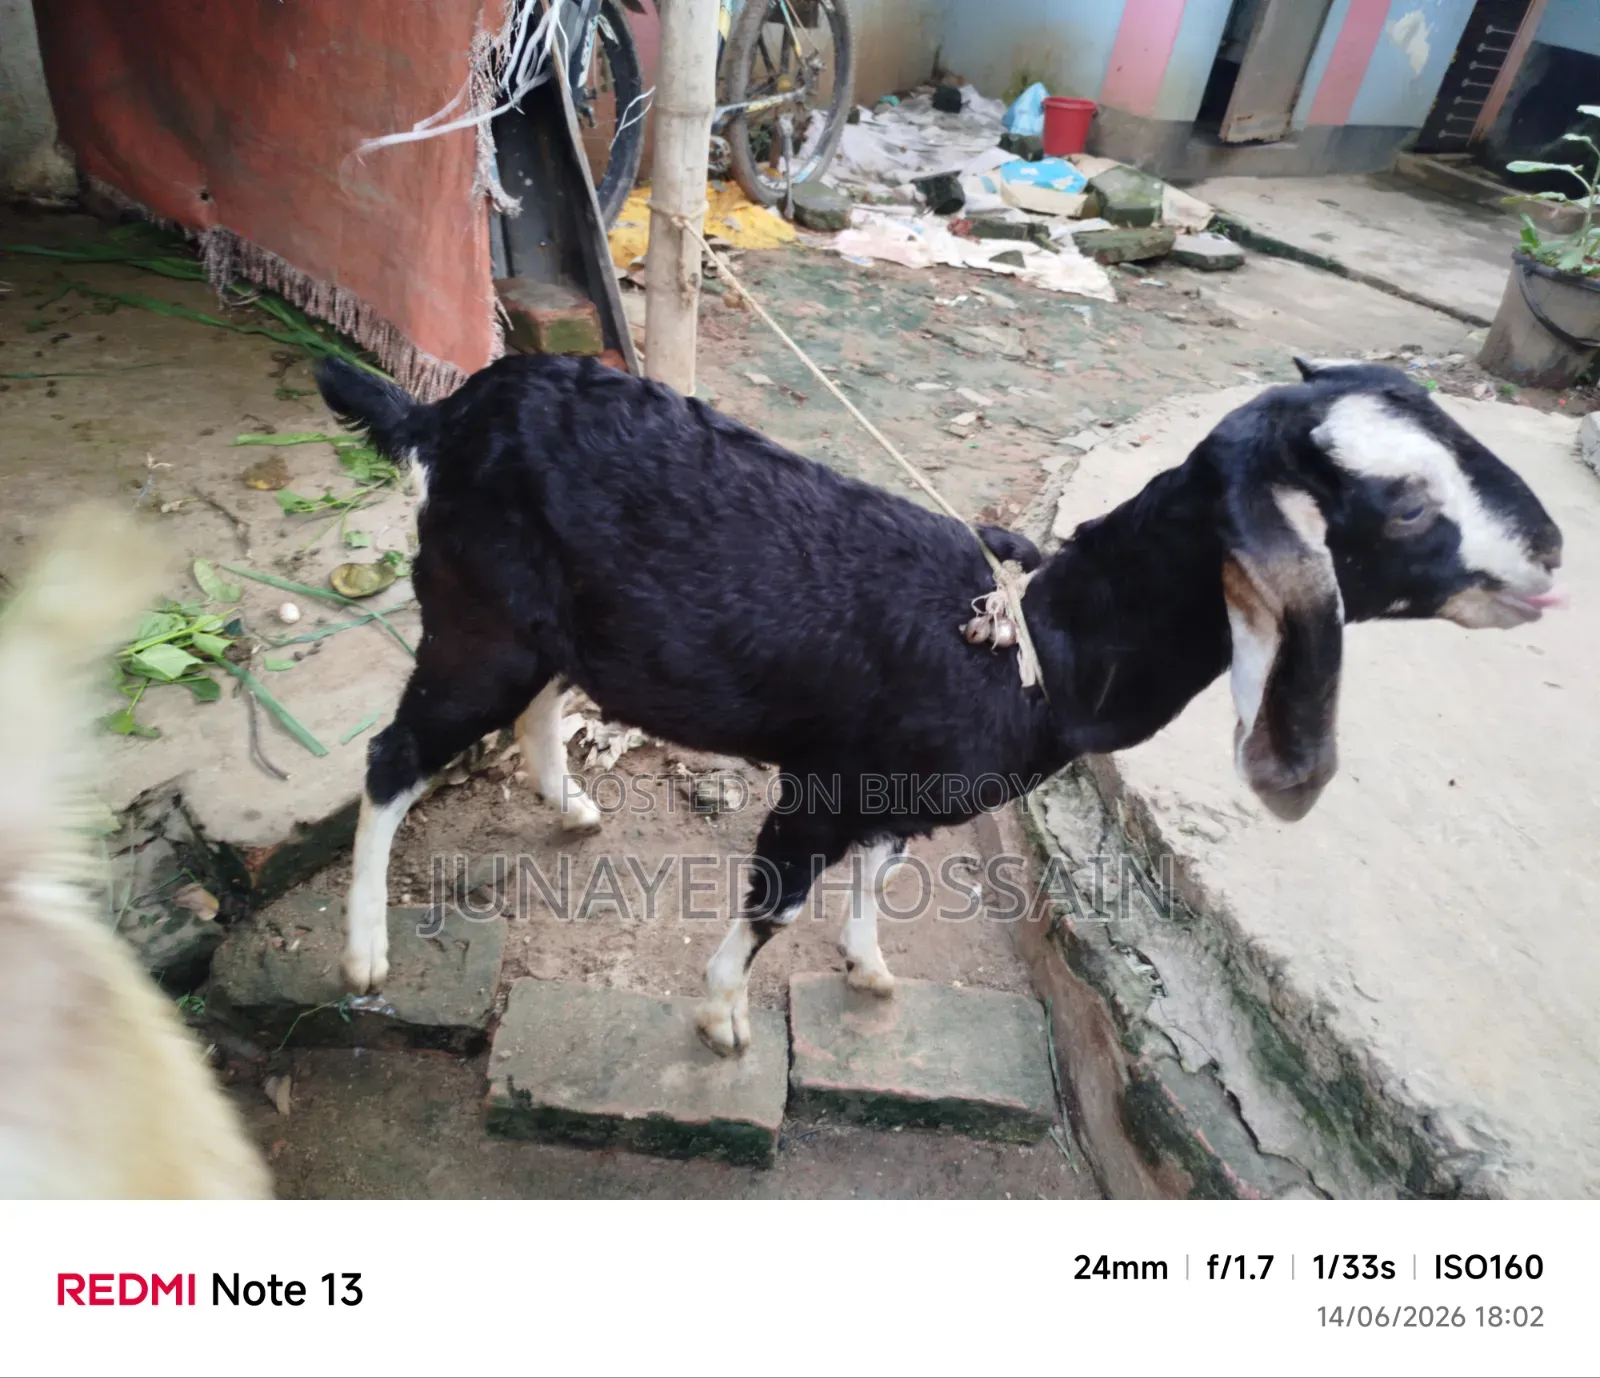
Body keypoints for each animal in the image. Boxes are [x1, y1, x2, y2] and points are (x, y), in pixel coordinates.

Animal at [314, 353, 1563, 1056]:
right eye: (1403, 504)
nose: (1552, 552)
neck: (1034, 647)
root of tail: (444, 417)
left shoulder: (896, 784)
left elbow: (881, 864)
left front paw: (868, 964)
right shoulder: (824, 783)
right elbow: (778, 897)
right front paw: (721, 1016)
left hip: (540, 627)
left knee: (536, 704)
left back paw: (567, 803)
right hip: (474, 618)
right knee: (392, 755)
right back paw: (365, 954)